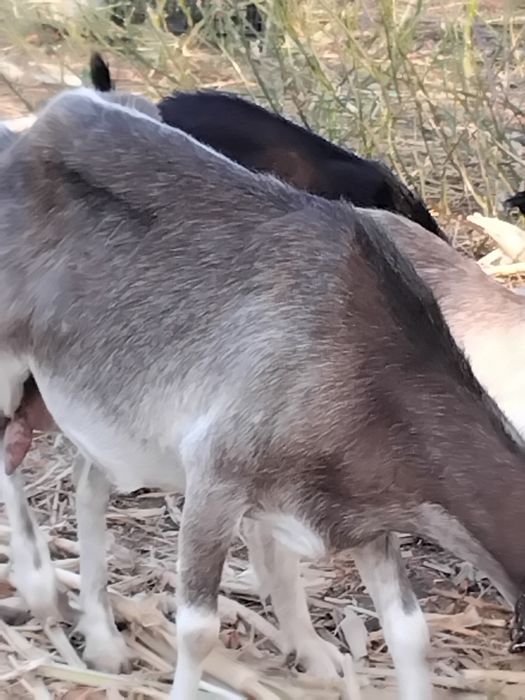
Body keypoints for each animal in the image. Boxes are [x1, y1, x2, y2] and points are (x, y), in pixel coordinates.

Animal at [3, 87, 525, 700]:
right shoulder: (216, 475)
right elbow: (197, 632)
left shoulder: (366, 515)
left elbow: (409, 633)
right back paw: (39, 588)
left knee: (88, 481)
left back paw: (104, 639)